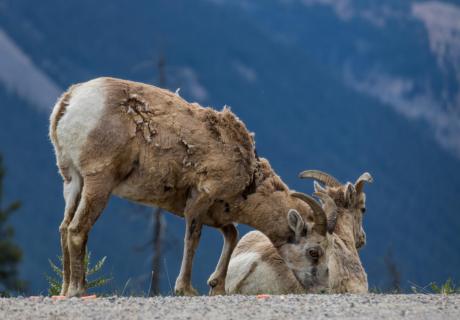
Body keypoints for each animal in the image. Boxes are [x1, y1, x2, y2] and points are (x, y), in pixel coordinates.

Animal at [49, 77, 330, 298]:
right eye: (314, 252)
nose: (324, 289)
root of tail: (70, 100)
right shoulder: (201, 199)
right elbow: (192, 240)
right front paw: (186, 289)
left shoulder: (217, 213)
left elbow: (232, 235)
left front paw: (217, 287)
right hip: (98, 182)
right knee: (77, 229)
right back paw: (79, 290)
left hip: (72, 182)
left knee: (63, 228)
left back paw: (64, 290)